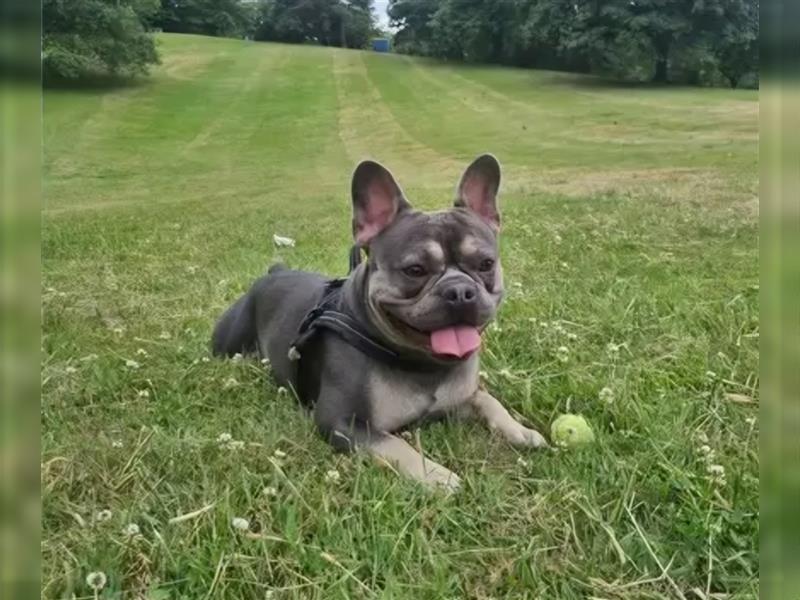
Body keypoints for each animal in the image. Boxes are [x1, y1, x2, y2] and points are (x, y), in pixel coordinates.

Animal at [212, 155, 548, 488]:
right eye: (414, 270)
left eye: (486, 264)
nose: (459, 291)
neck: (422, 364)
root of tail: (275, 272)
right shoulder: (343, 422)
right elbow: (395, 444)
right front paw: (437, 476)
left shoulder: (464, 397)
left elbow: (488, 400)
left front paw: (520, 430)